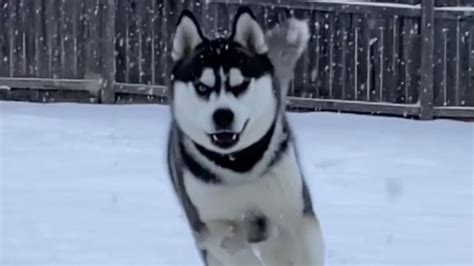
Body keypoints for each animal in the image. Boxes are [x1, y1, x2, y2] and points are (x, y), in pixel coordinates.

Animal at [168, 7, 326, 264]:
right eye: (202, 87)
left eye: (240, 84)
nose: (223, 115)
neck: (239, 165)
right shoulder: (209, 225)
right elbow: (233, 247)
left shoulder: (294, 213)